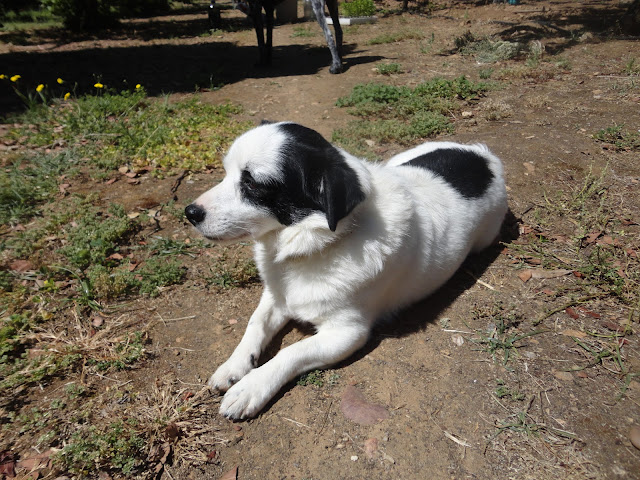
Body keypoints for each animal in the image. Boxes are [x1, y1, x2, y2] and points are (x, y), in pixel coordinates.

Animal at [185, 122, 510, 418]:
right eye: (226, 172)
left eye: (253, 183)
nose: (190, 212)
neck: (316, 246)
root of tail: (485, 156)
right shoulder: (276, 296)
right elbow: (254, 325)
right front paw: (235, 365)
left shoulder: (347, 333)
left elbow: (291, 352)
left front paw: (251, 387)